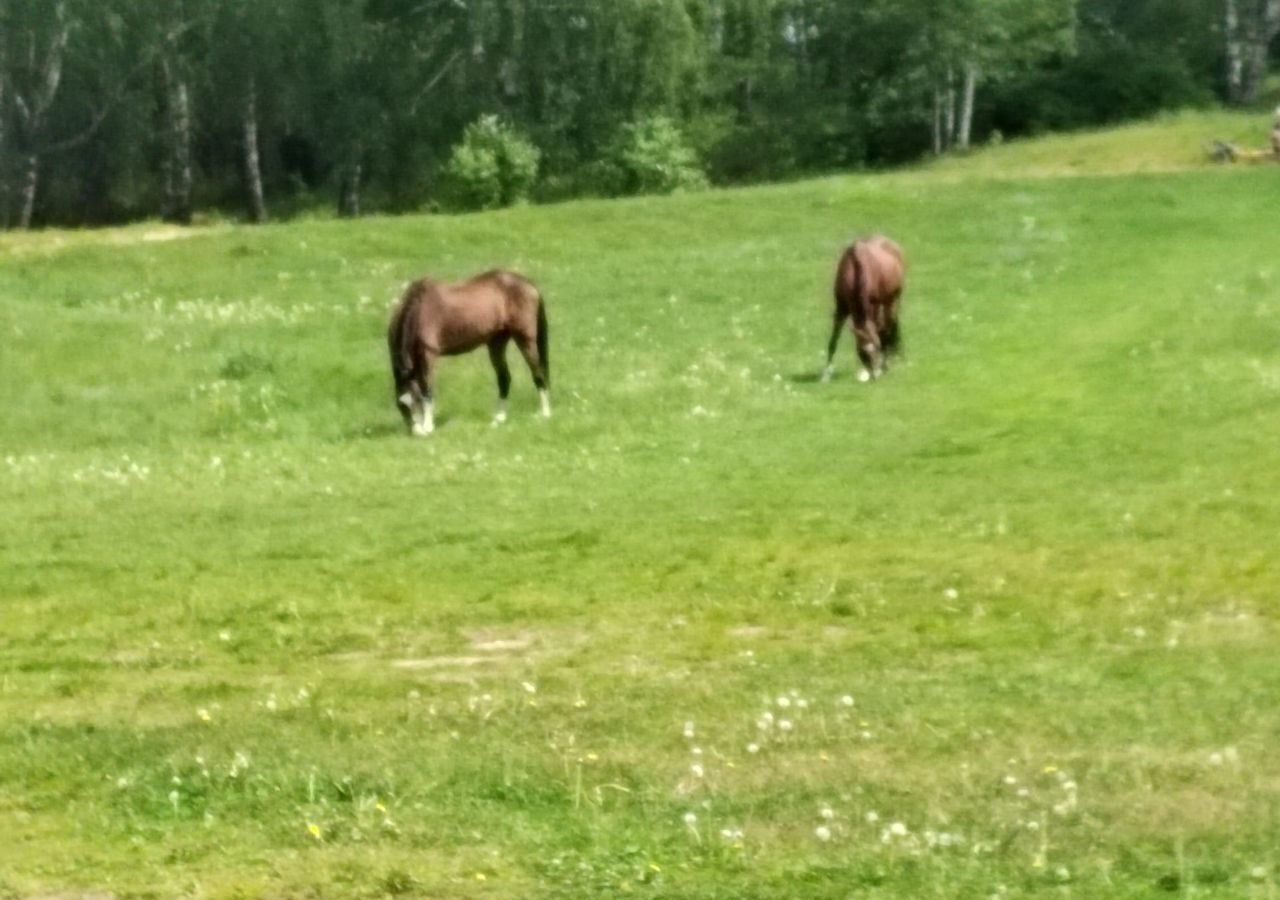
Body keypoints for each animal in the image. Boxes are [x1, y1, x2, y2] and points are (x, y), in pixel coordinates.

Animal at [389, 267, 550, 435]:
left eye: (416, 400)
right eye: (401, 406)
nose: (416, 433)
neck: (419, 310)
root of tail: (528, 284)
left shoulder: (428, 355)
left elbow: (427, 389)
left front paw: (428, 427)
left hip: (525, 339)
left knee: (538, 374)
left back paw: (545, 414)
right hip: (497, 343)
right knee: (504, 378)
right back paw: (498, 419)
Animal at [824, 234, 906, 381]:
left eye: (877, 348)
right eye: (862, 353)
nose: (874, 376)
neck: (855, 268)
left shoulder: (872, 306)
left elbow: (880, 331)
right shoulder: (841, 308)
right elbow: (833, 339)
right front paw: (826, 374)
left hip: (892, 301)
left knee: (887, 328)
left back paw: (885, 364)